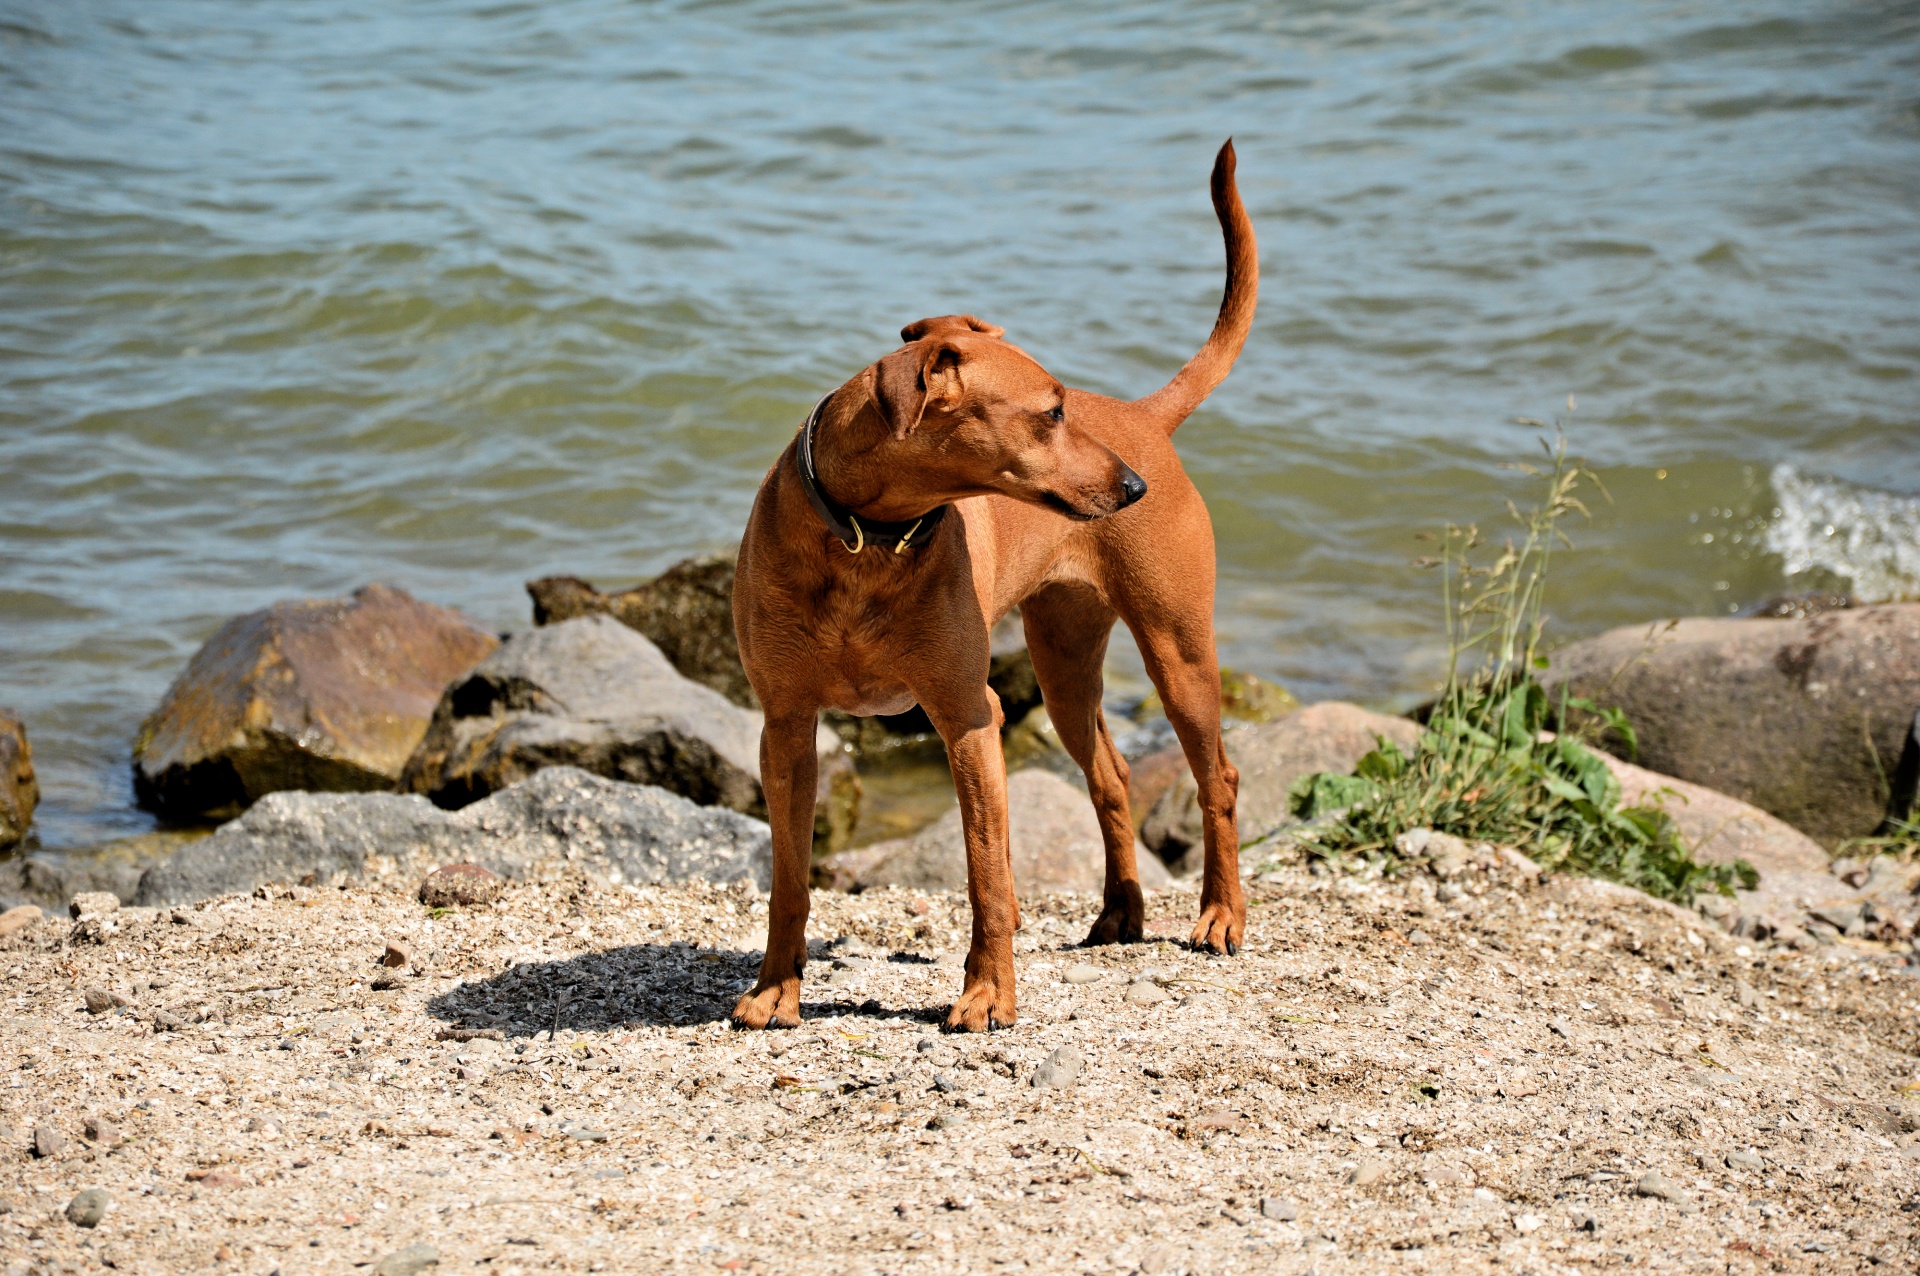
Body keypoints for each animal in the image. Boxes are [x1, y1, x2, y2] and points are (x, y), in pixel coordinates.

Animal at [725, 141, 1251, 1036]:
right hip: (1064, 664)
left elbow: (986, 875)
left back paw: (1220, 916)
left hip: (1178, 651)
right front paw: (774, 990)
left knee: (1218, 777)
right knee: (1111, 776)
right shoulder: (787, 727)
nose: (1133, 487)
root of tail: (1145, 418)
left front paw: (986, 995)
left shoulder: (971, 715)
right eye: (1051, 413)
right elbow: (790, 880)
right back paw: (1120, 913)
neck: (868, 540)